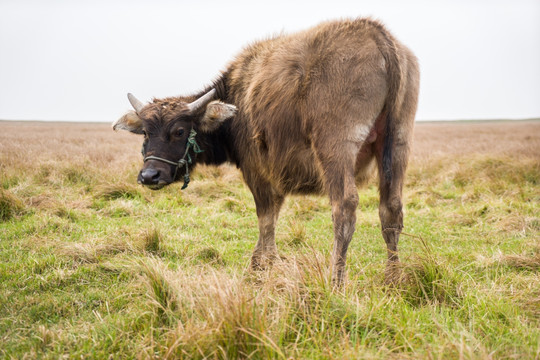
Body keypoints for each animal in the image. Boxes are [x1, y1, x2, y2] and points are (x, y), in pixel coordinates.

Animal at [112, 18, 420, 286]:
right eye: (146, 132)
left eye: (178, 131)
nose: (150, 176)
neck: (236, 100)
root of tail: (378, 36)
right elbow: (273, 216)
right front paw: (259, 263)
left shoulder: (257, 173)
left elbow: (266, 219)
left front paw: (262, 266)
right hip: (398, 143)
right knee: (391, 209)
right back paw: (393, 277)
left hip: (335, 148)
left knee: (344, 208)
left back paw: (336, 281)